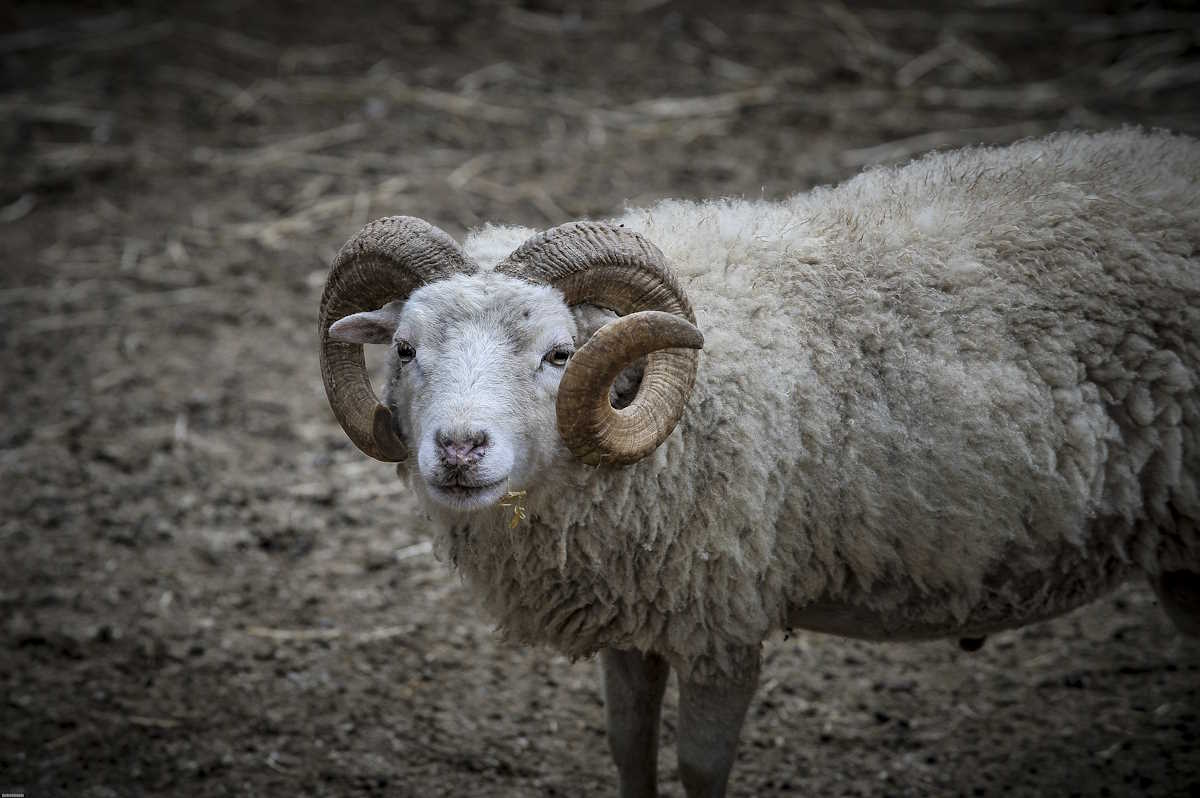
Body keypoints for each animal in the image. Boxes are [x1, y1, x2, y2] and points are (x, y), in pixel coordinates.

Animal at [319, 130, 1200, 796]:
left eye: (559, 354)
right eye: (405, 348)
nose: (459, 448)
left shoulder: (723, 617)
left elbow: (701, 767)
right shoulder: (630, 611)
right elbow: (627, 748)